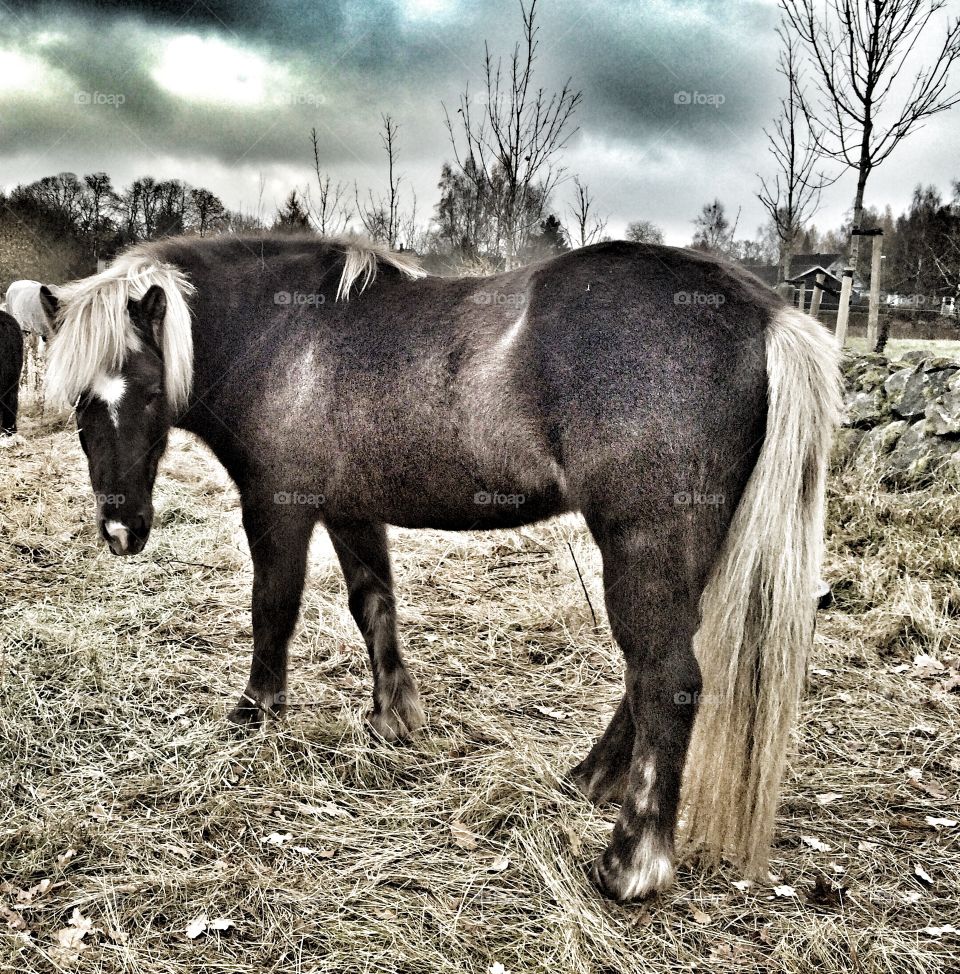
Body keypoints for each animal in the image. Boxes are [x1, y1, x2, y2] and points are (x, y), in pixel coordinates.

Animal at [40, 234, 840, 903]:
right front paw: (394, 715)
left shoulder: (278, 509)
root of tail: (766, 315)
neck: (281, 336)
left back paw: (631, 863)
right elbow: (373, 605)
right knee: (651, 678)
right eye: (79, 401)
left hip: (643, 543)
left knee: (667, 680)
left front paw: (256, 711)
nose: (121, 529)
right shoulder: (351, 512)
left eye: (148, 391)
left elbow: (274, 608)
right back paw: (588, 781)